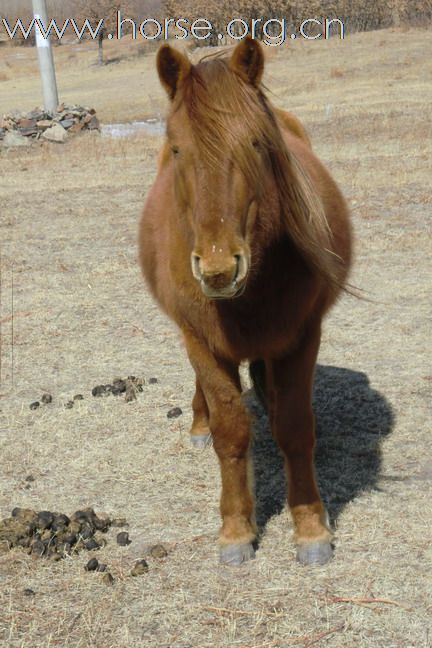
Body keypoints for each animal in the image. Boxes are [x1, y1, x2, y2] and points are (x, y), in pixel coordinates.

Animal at [140, 39, 352, 568]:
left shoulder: (301, 336)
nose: (218, 270)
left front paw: (311, 527)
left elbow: (295, 427)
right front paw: (236, 530)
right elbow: (230, 430)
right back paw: (200, 422)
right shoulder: (200, 339)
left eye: (257, 144)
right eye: (178, 148)